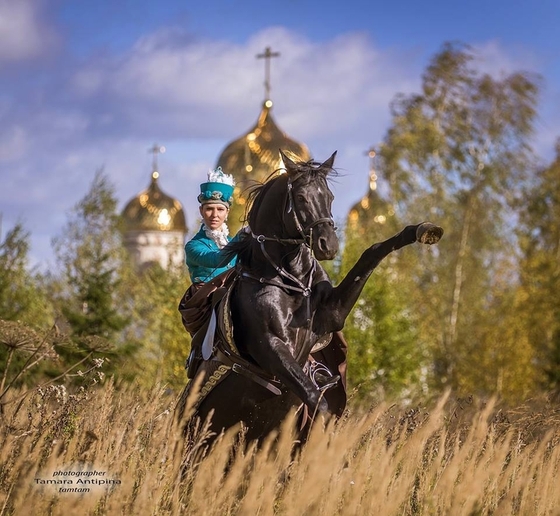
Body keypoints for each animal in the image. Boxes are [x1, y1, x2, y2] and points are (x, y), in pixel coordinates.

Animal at [179, 149, 442, 444]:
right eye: (302, 198)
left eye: (329, 196)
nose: (328, 245)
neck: (288, 279)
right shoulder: (272, 347)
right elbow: (319, 403)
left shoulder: (331, 315)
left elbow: (372, 251)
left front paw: (423, 229)